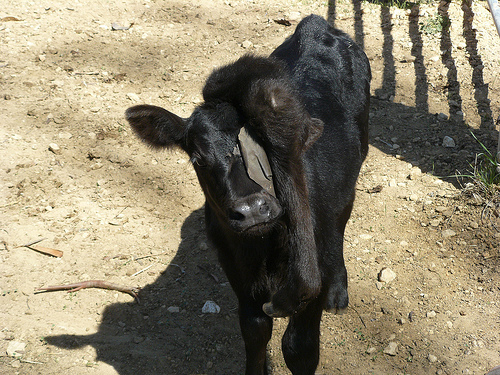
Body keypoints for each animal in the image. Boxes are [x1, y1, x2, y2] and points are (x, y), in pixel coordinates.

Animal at [127, 13, 370, 375]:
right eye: (198, 159)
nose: (254, 209)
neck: (265, 247)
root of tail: (315, 25)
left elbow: (300, 348)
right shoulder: (236, 268)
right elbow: (255, 329)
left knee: (341, 222)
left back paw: (338, 293)